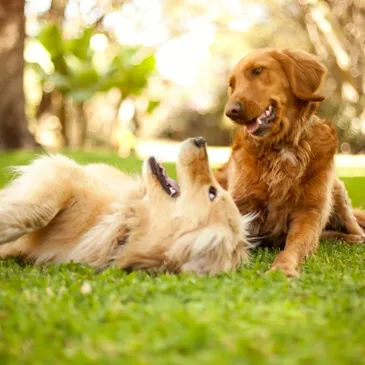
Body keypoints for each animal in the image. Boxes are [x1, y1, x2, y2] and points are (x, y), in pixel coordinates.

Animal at [216, 47, 364, 276]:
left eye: (257, 70)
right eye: (232, 85)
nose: (231, 111)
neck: (283, 146)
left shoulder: (309, 213)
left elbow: (295, 246)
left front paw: (282, 268)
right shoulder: (241, 204)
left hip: (338, 192)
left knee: (355, 231)